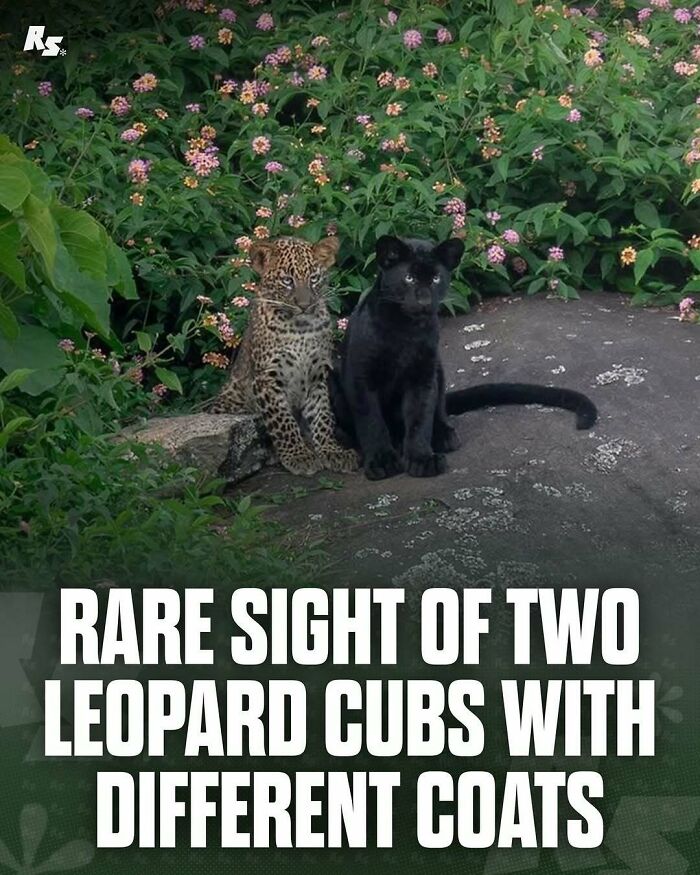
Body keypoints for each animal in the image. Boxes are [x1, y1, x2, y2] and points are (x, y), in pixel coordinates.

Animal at [209, 235, 358, 477]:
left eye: (314, 278)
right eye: (287, 281)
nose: (305, 305)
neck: (300, 329)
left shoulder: (317, 375)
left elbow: (323, 415)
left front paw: (332, 450)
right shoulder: (268, 377)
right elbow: (283, 420)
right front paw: (299, 456)